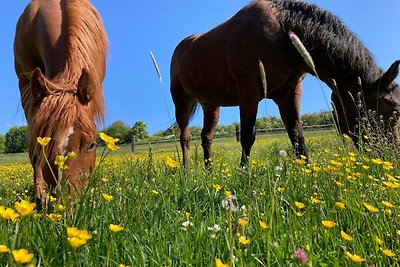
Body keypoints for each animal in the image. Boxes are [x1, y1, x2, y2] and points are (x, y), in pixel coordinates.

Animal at [170, 0, 398, 168]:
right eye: (394, 108)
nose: (393, 155)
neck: (283, 31)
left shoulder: (289, 93)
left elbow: (297, 136)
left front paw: (307, 171)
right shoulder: (250, 94)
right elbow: (247, 136)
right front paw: (244, 173)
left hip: (211, 105)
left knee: (206, 137)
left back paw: (209, 170)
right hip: (181, 101)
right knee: (185, 137)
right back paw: (186, 170)